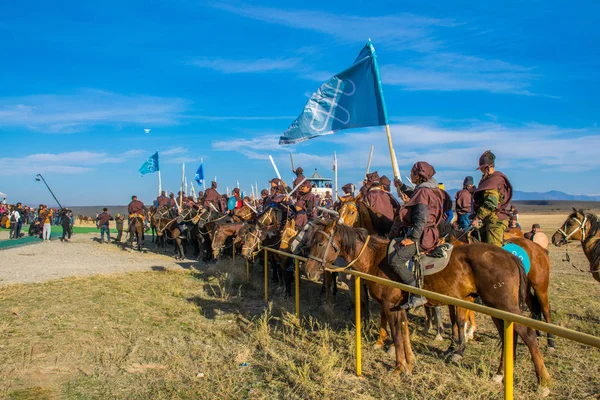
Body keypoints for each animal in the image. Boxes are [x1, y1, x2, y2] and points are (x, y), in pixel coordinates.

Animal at [302, 220, 552, 392]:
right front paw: (410, 363)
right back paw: (500, 374)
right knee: (508, 335)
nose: (309, 271)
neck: (376, 259)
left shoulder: (390, 306)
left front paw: (399, 367)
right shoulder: (400, 307)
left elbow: (397, 335)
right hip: (496, 309)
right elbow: (404, 333)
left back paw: (543, 381)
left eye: (320, 242)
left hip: (507, 306)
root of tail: (512, 257)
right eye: (311, 241)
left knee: (528, 334)